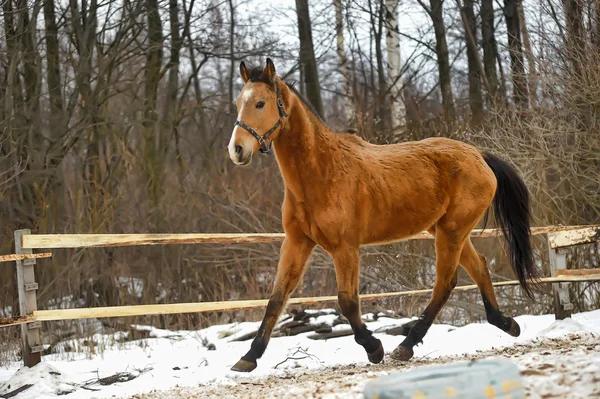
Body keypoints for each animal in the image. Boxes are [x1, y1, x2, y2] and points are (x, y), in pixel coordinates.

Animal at [227, 59, 536, 376]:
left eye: (261, 103)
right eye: (239, 102)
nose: (236, 150)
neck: (321, 172)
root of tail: (479, 156)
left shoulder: (345, 248)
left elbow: (348, 302)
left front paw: (374, 348)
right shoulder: (296, 243)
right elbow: (276, 299)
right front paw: (249, 357)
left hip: (452, 231)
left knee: (444, 283)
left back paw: (406, 345)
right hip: (447, 230)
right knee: (478, 269)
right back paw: (506, 323)